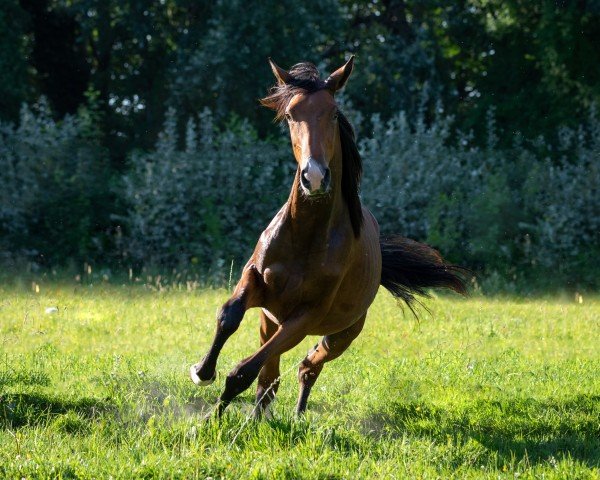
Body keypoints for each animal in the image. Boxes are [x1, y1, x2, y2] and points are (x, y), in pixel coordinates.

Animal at [190, 56, 466, 416]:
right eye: (291, 115)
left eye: (334, 113)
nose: (315, 177)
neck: (306, 235)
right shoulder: (256, 282)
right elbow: (229, 315)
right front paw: (203, 372)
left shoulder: (305, 316)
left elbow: (243, 371)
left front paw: (213, 419)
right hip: (269, 321)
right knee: (271, 377)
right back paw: (259, 418)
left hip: (342, 334)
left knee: (305, 367)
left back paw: (295, 415)